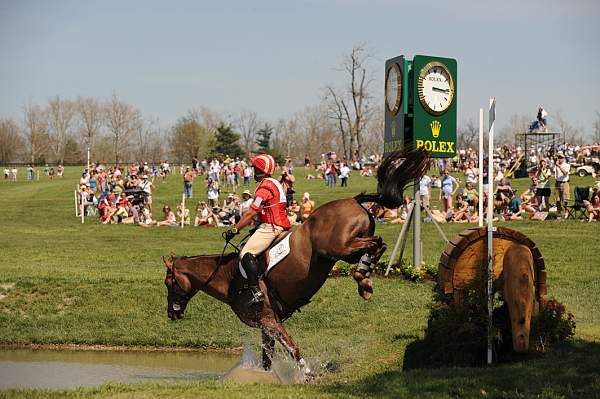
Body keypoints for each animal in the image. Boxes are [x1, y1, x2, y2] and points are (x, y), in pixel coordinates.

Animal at [162, 148, 428, 376]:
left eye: (169, 282)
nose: (171, 314)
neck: (227, 278)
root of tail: (353, 200)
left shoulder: (268, 319)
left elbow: (292, 348)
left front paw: (307, 374)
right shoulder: (267, 325)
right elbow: (267, 358)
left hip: (338, 248)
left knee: (376, 243)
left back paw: (362, 279)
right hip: (345, 251)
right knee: (378, 245)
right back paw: (364, 280)